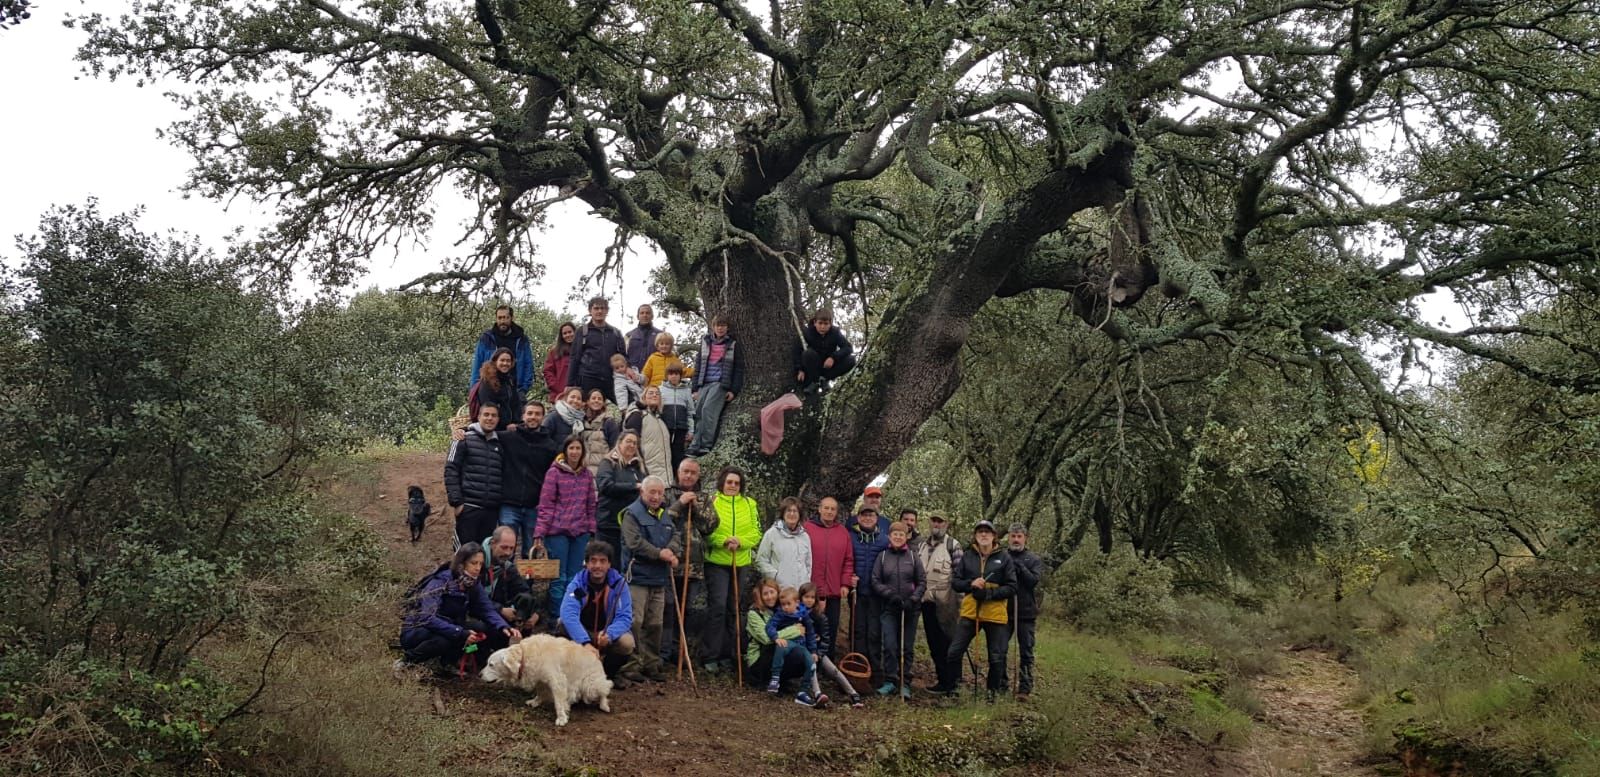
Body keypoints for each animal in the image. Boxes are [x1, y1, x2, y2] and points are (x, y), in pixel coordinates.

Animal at [476, 633, 608, 725]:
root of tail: (598, 659)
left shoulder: (557, 681)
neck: (525, 656)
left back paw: (604, 705)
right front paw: (535, 702)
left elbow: (558, 703)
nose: (479, 675)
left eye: (491, 665)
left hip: (590, 686)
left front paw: (561, 718)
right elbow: (540, 693)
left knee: (605, 690)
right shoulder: (541, 681)